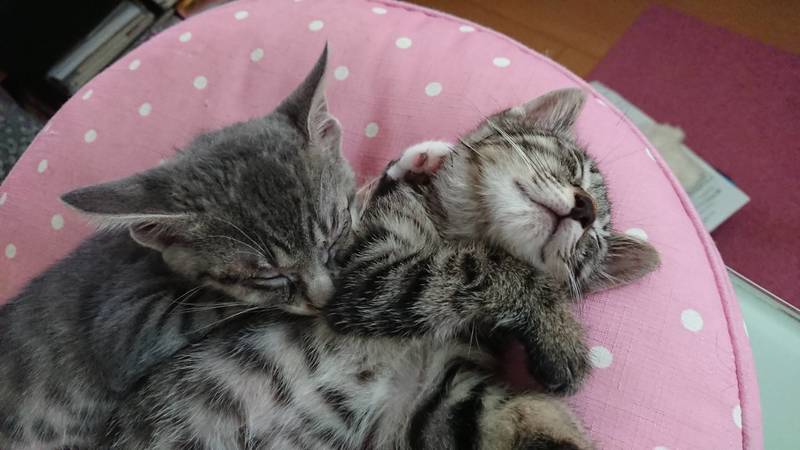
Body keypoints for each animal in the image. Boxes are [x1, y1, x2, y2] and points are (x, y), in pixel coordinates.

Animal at [103, 68, 658, 448]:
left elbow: (526, 419)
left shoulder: (433, 396)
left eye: (594, 244)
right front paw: (563, 336)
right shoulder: (362, 270)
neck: (455, 229)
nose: (586, 211)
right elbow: (482, 266)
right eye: (572, 166)